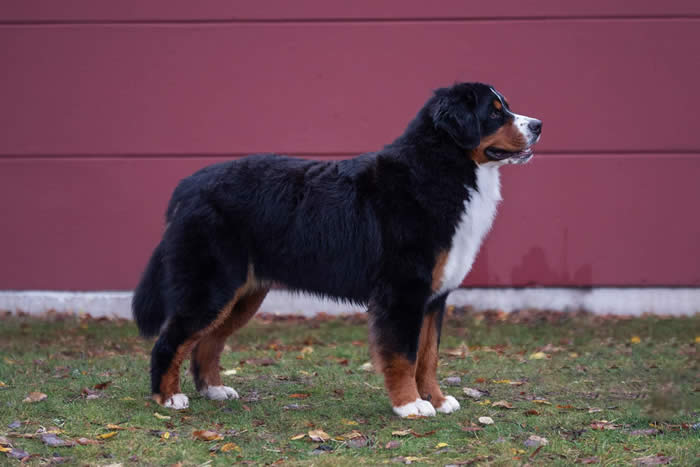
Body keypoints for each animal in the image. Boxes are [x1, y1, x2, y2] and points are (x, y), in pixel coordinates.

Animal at [134, 82, 544, 418]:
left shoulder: (434, 298)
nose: (539, 125)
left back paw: (215, 390)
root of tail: (189, 184)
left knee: (208, 342)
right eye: (495, 112)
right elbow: (403, 355)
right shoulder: (403, 292)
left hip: (242, 295)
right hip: (212, 287)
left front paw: (438, 400)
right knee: (170, 341)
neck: (442, 169)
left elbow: (428, 357)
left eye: (506, 107)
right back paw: (168, 398)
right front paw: (410, 404)